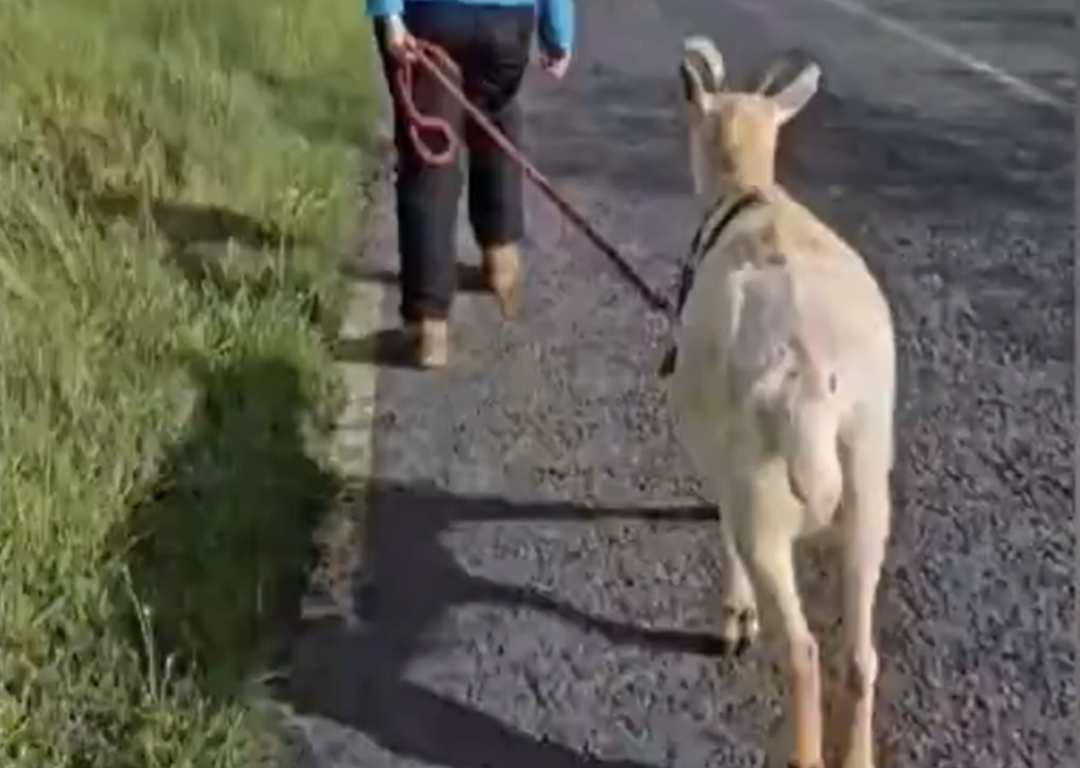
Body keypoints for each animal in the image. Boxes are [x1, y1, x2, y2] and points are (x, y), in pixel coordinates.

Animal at [662, 36, 897, 768]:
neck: (750, 195)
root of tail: (811, 380)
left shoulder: (714, 451)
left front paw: (733, 618)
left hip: (763, 492)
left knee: (801, 650)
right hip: (866, 479)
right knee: (860, 656)